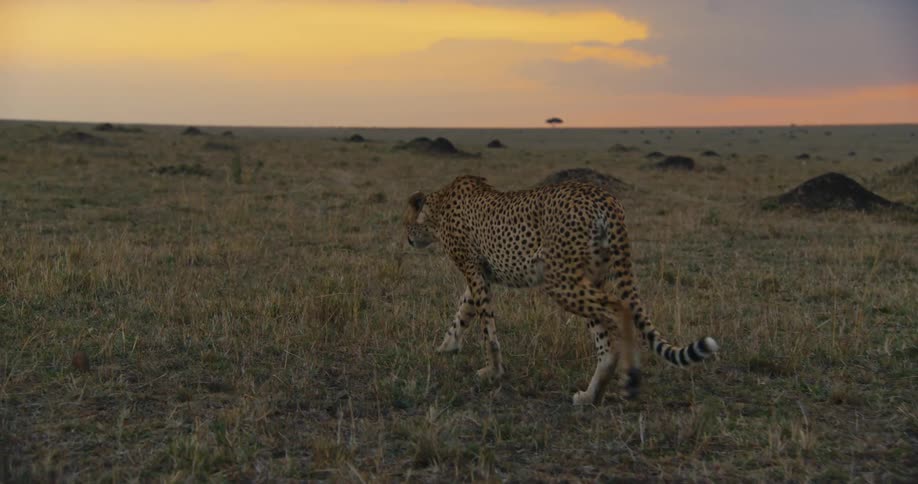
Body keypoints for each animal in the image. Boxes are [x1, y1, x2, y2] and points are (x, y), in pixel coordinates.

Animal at [405, 175, 719, 405]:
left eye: (405, 222)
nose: (408, 240)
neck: (439, 207)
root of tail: (603, 196)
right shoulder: (482, 275)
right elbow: (463, 312)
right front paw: (446, 347)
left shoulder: (474, 271)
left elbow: (486, 329)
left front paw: (492, 370)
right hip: (589, 278)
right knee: (605, 337)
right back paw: (591, 395)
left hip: (561, 280)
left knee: (619, 311)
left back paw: (629, 378)